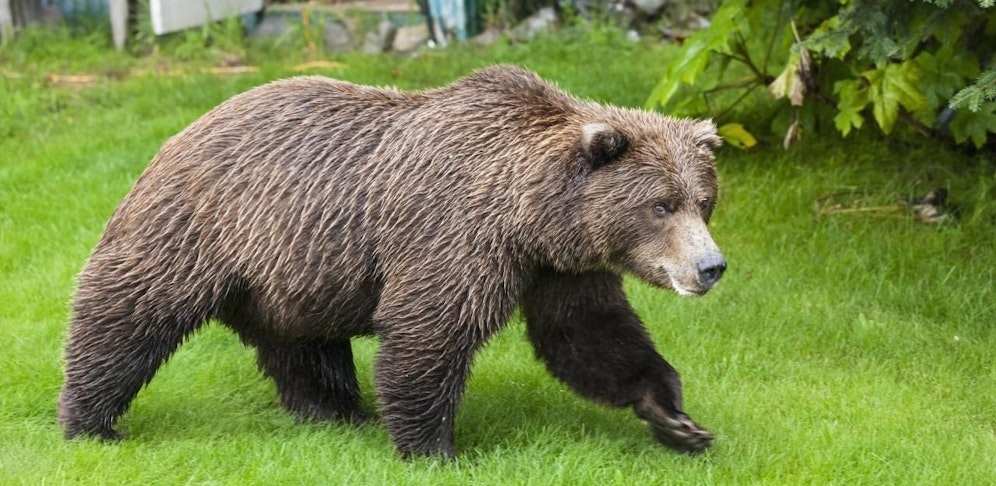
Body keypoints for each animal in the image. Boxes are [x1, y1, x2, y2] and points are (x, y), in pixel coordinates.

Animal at [58, 65, 726, 459]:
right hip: (202, 225)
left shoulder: (561, 267)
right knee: (131, 308)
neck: (529, 215)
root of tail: (181, 130)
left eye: (703, 201)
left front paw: (674, 418)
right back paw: (90, 420)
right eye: (661, 205)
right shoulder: (454, 235)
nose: (711, 267)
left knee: (302, 343)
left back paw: (335, 411)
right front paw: (435, 448)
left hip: (293, 269)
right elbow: (429, 331)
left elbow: (588, 336)